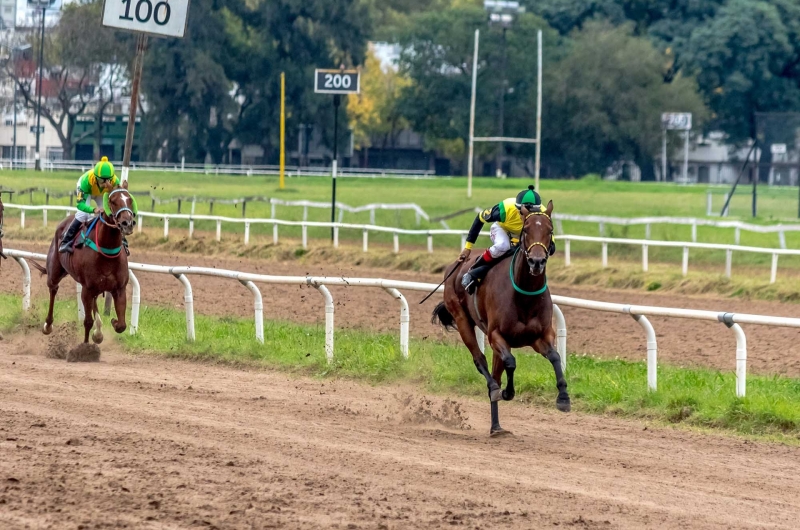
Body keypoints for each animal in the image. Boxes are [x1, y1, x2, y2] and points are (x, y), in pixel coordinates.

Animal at [30, 185, 138, 342]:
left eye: (129, 199)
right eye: (112, 201)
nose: (127, 224)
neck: (107, 252)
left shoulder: (119, 289)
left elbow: (121, 325)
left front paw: (112, 322)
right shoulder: (87, 289)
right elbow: (87, 322)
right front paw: (86, 346)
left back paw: (98, 331)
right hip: (55, 272)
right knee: (53, 289)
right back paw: (48, 325)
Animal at [432, 200, 568, 436]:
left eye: (550, 230)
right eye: (526, 230)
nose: (537, 262)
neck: (524, 295)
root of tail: (453, 268)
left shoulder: (540, 336)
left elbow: (555, 357)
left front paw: (563, 398)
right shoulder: (496, 335)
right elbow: (511, 363)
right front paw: (507, 392)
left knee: (495, 370)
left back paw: (496, 426)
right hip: (462, 319)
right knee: (480, 361)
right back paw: (495, 389)